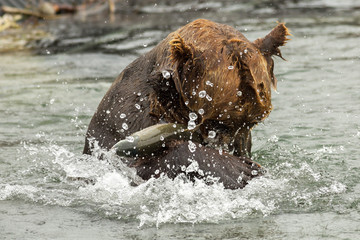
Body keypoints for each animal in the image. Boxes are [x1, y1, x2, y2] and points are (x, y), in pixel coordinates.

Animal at [83, 18, 290, 189]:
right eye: (218, 123)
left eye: (251, 123)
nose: (232, 148)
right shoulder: (126, 119)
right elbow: (138, 166)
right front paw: (237, 169)